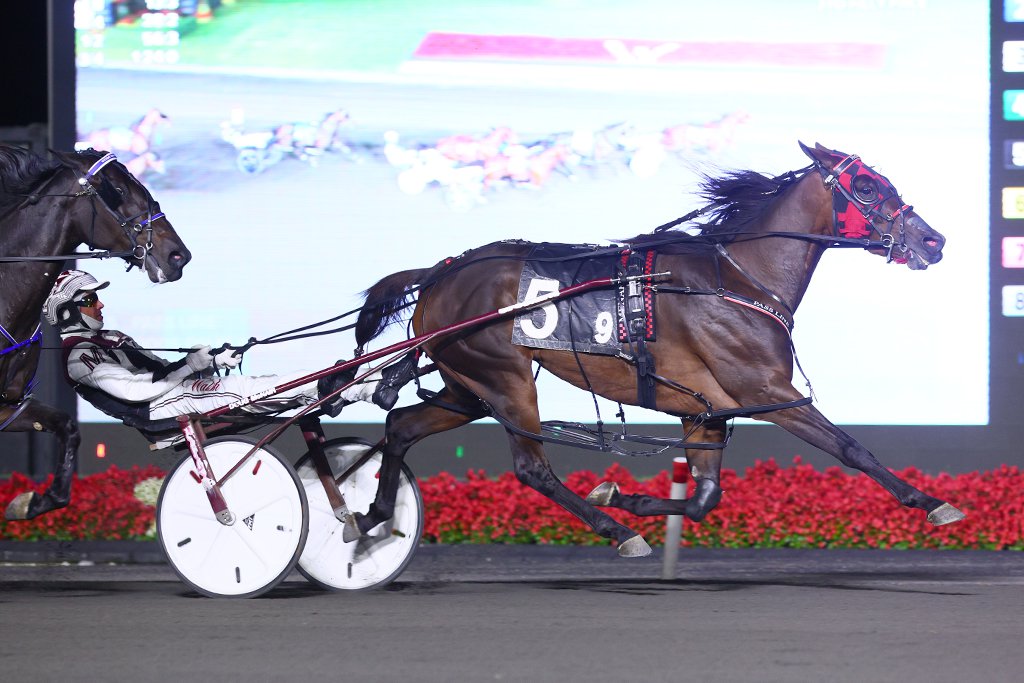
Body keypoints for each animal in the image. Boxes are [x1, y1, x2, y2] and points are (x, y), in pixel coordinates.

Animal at [356, 143, 962, 557]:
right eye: (867, 186)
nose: (932, 240)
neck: (736, 279)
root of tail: (441, 271)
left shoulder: (706, 410)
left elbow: (704, 497)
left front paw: (623, 497)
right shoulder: (767, 390)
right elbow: (851, 448)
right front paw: (932, 502)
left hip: (467, 385)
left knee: (402, 426)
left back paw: (373, 516)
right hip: (505, 378)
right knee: (531, 468)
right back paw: (618, 533)